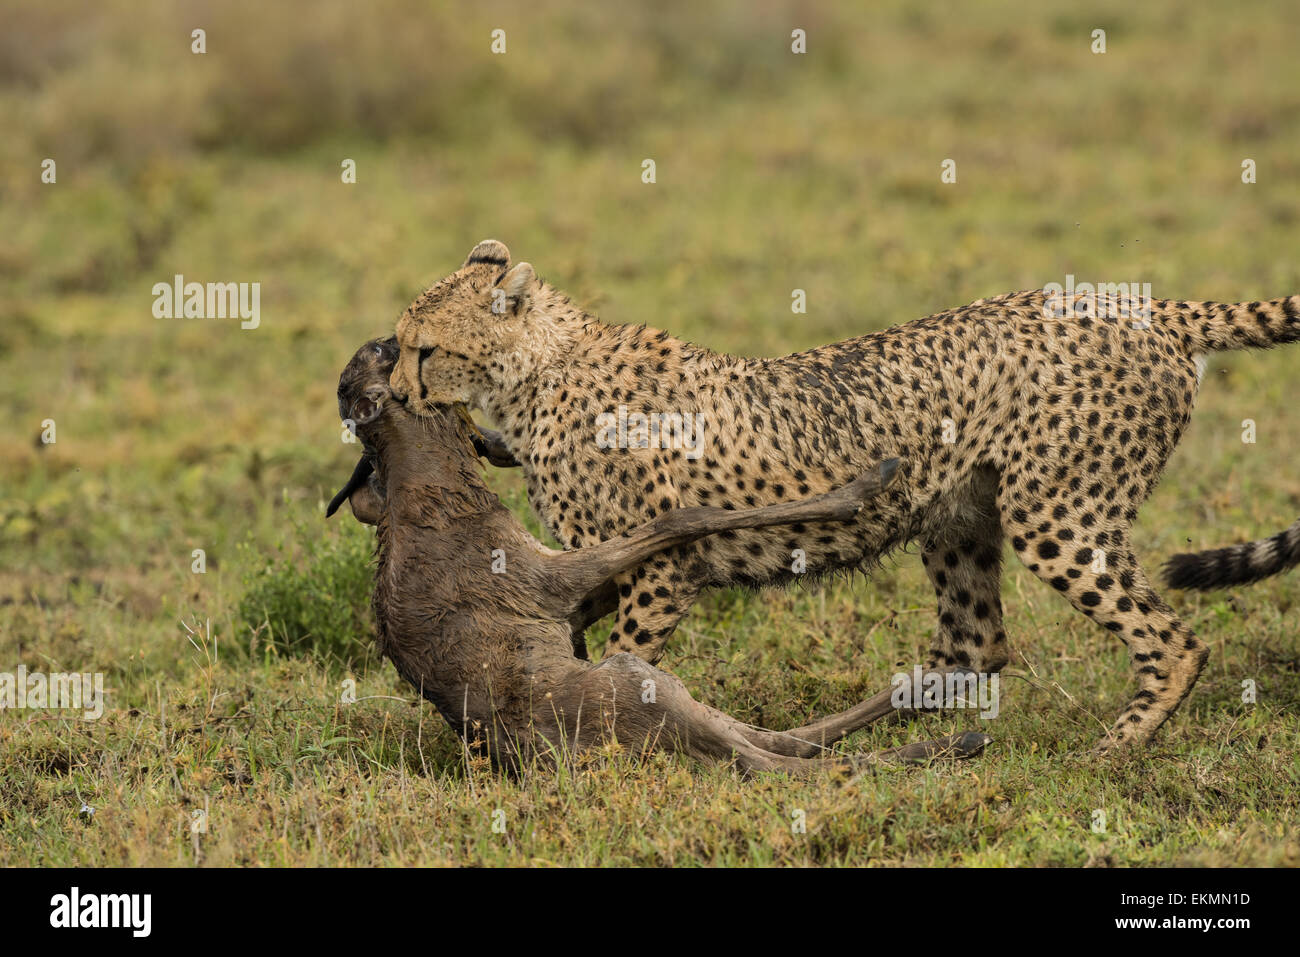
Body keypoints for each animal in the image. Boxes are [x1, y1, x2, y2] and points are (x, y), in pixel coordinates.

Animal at [390, 239, 1300, 748]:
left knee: (1171, 640)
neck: (539, 368)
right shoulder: (590, 568)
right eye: (399, 345)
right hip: (960, 515)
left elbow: (627, 662)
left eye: (423, 349)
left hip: (1060, 514)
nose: (393, 392)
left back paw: (1115, 748)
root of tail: (1147, 308)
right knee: (976, 646)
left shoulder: (656, 567)